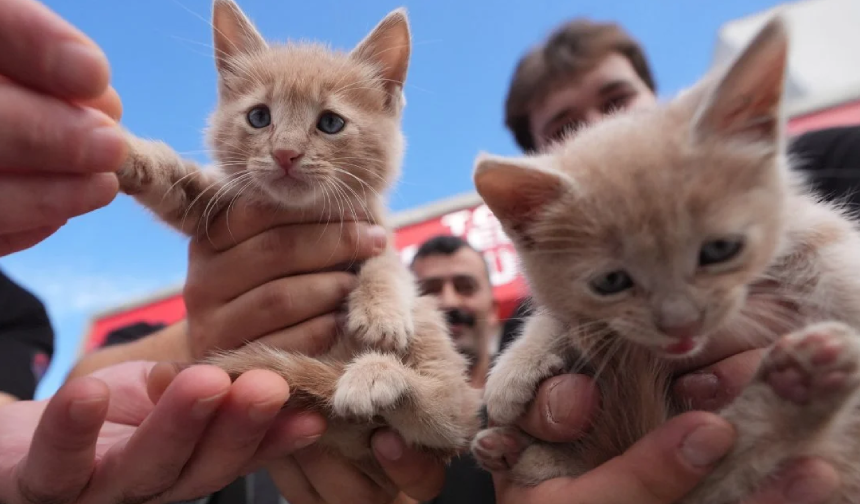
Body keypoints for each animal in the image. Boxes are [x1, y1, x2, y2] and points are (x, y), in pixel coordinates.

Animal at [115, 0, 484, 492]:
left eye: (330, 122)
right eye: (259, 116)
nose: (285, 153)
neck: (298, 212)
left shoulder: (375, 232)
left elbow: (385, 266)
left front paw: (381, 314)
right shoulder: (215, 211)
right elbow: (178, 184)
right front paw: (129, 153)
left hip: (439, 360)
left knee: (451, 413)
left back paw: (375, 377)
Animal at [470, 15, 860, 504]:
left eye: (719, 250)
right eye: (611, 282)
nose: (681, 325)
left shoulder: (809, 225)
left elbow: (835, 258)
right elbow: (557, 313)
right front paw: (513, 370)